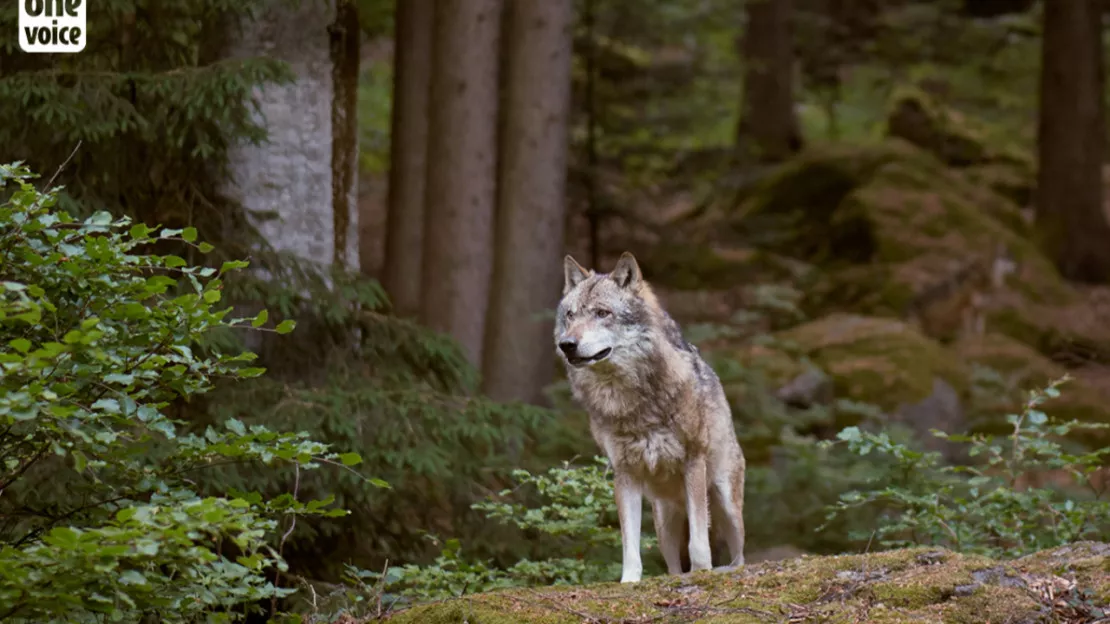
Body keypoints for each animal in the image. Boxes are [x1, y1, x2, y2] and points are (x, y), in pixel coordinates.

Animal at [555, 249, 745, 581]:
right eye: (570, 315)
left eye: (602, 313)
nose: (567, 345)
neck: (631, 402)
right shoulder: (624, 473)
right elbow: (630, 546)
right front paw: (629, 582)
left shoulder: (693, 461)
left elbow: (699, 544)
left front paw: (702, 572)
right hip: (664, 523)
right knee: (672, 566)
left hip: (726, 505)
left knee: (740, 555)